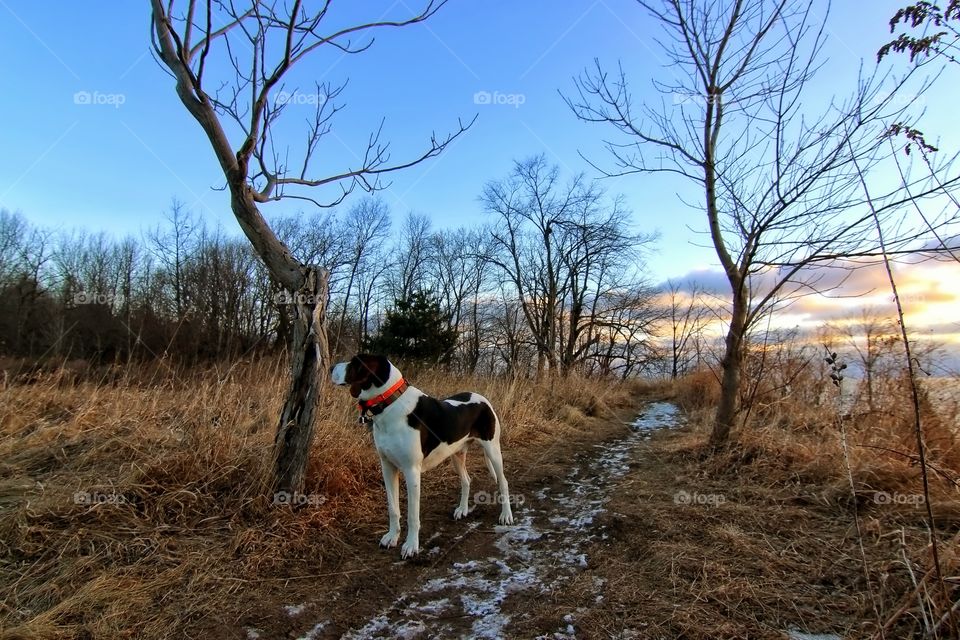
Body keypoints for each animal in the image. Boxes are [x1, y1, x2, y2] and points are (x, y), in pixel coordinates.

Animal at [330, 358, 512, 556]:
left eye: (355, 362)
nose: (330, 367)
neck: (391, 404)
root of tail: (483, 399)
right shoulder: (387, 467)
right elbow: (393, 508)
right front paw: (391, 537)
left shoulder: (411, 472)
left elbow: (412, 516)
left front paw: (411, 546)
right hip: (456, 454)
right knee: (466, 480)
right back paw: (462, 510)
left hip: (493, 449)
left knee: (503, 481)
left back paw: (506, 515)